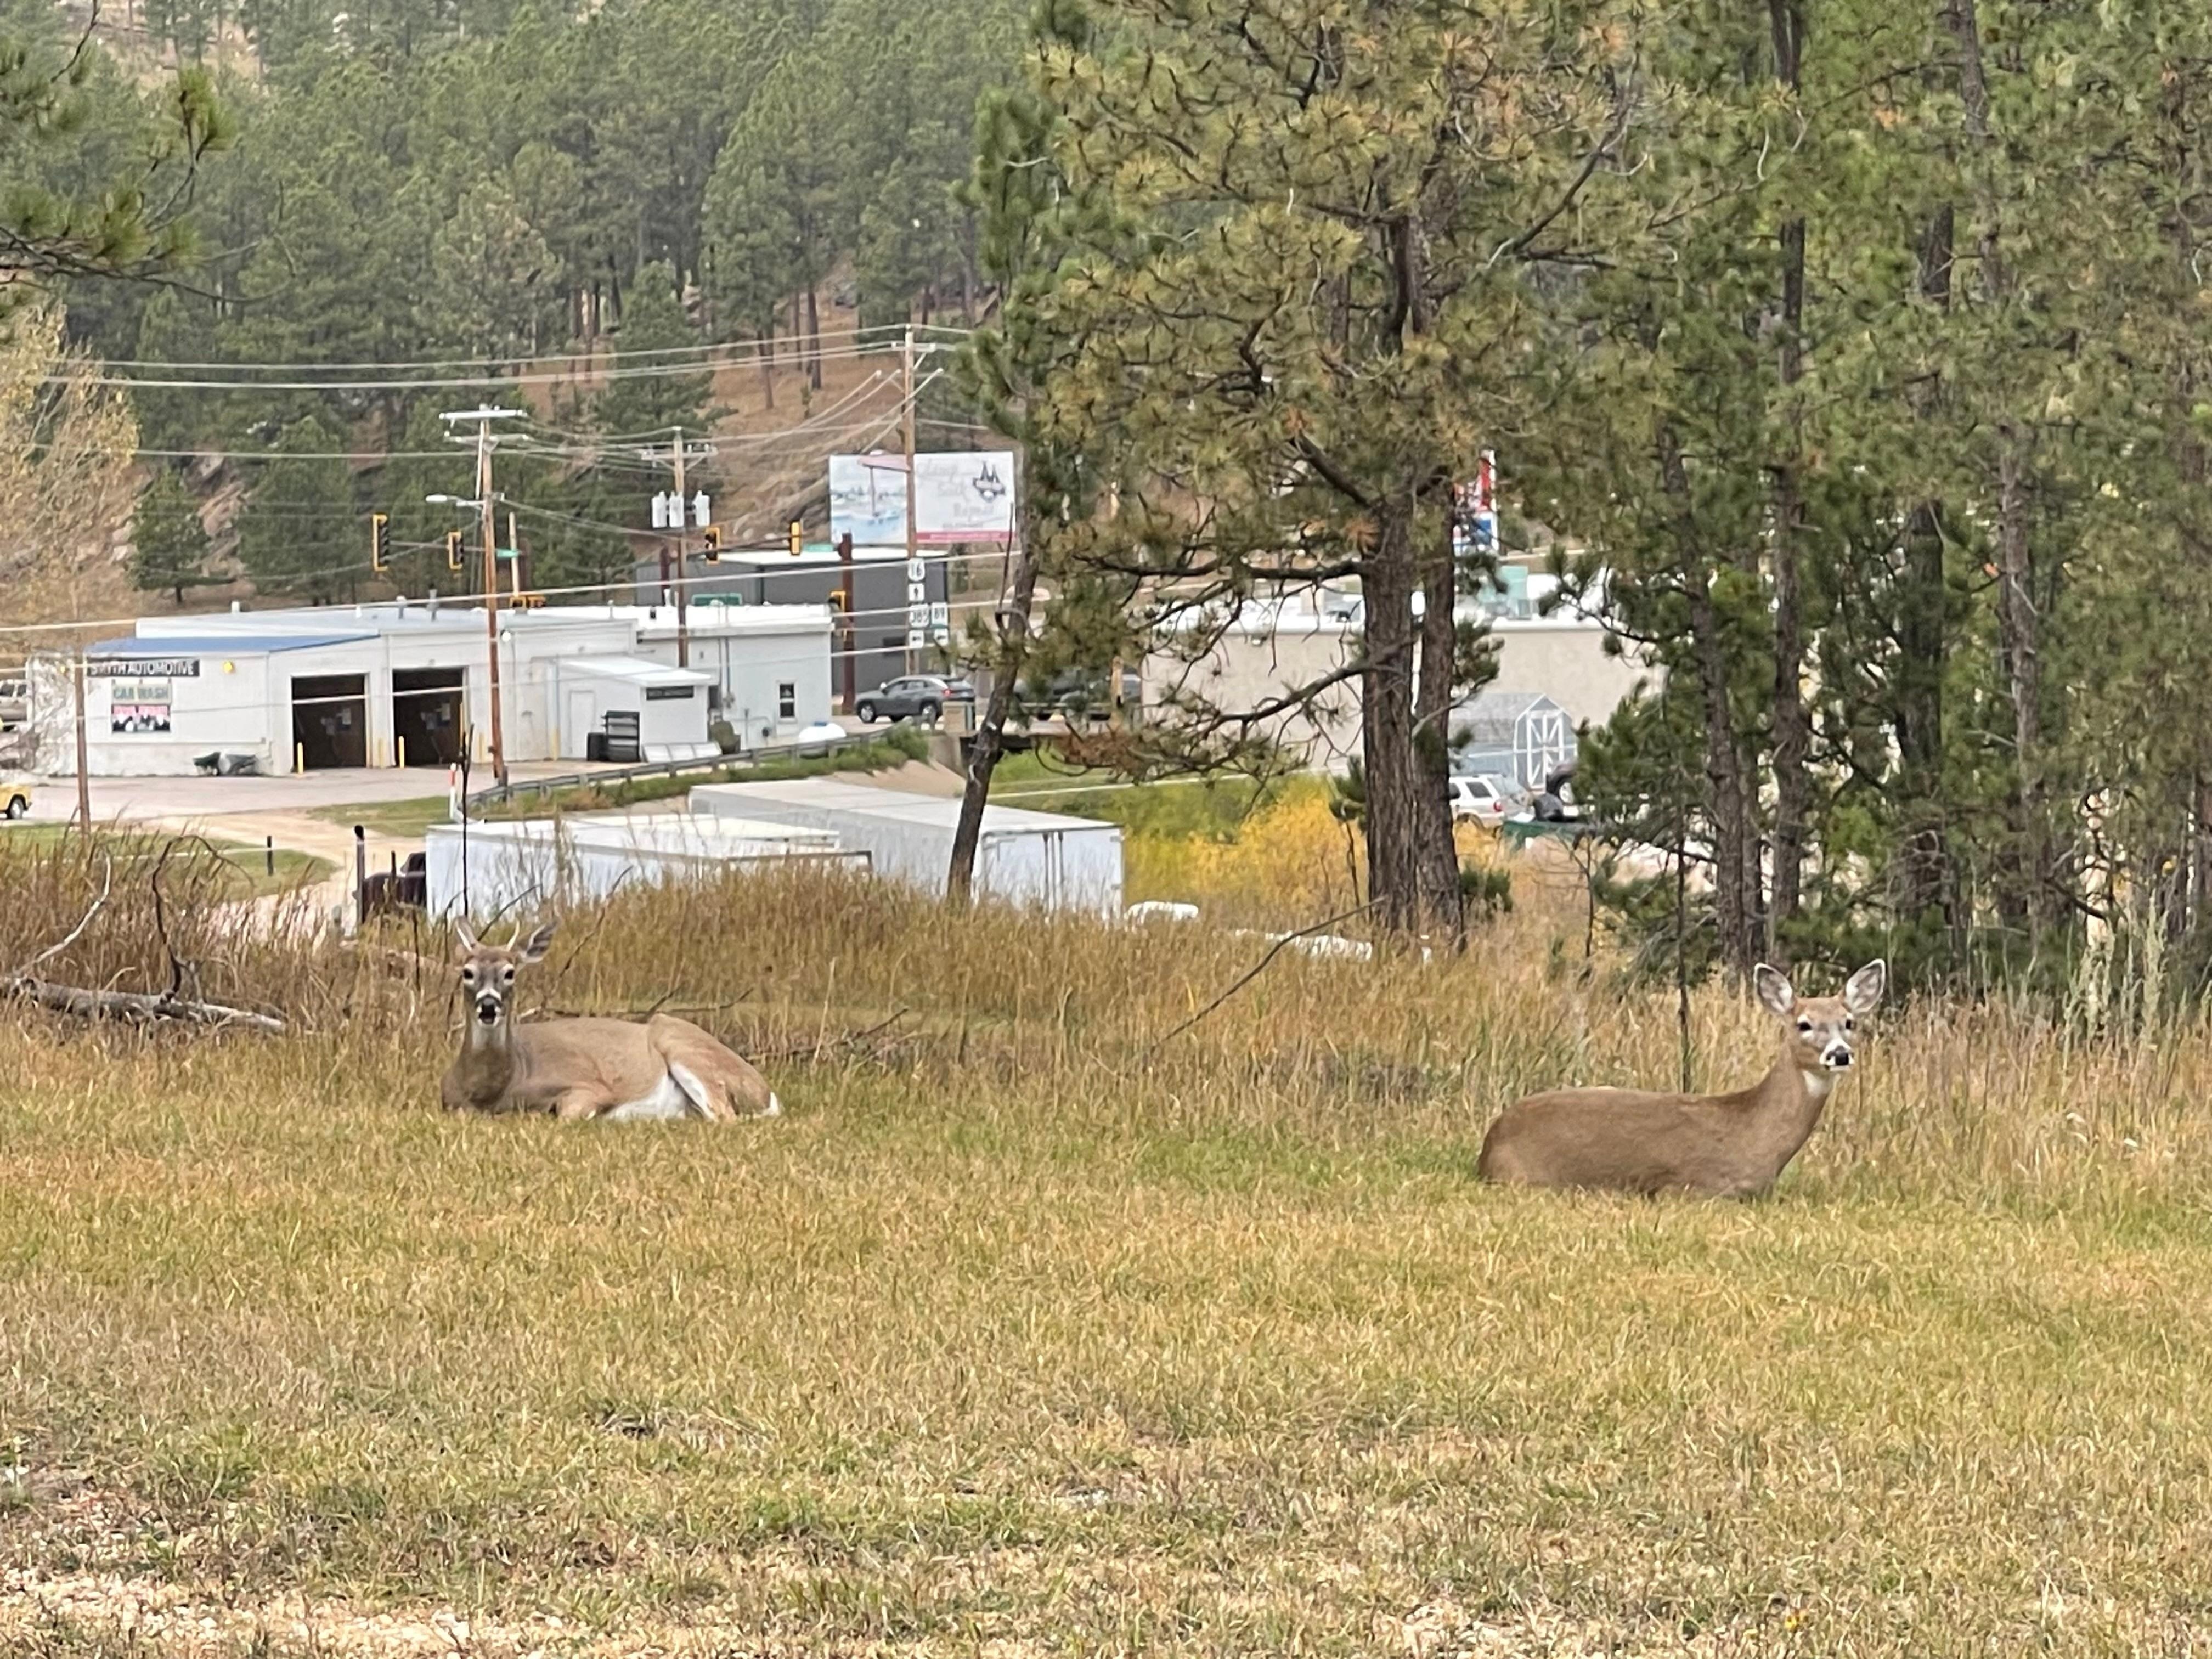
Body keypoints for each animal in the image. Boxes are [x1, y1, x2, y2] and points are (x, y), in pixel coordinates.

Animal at [440, 921, 782, 1122]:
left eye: (510, 972)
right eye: (467, 972)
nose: (488, 1006)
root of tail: (767, 1093)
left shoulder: (591, 1087)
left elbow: (568, 1114)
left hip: (682, 1045)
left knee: (725, 1116)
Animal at [1477, 959, 1886, 1198]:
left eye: (1849, 1022)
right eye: (1804, 1024)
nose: (1839, 1054)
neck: (1755, 1137)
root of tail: (1489, 1145)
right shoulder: (1693, 1188)